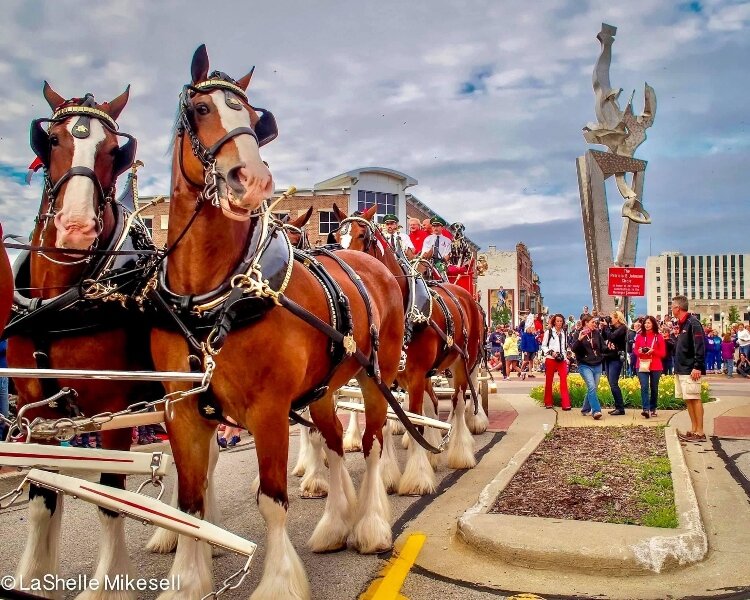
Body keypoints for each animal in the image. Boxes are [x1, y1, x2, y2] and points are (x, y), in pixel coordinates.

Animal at [3, 83, 152, 596]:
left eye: (113, 152)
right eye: (51, 141)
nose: (76, 228)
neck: (61, 301)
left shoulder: (117, 411)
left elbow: (110, 498)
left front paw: (108, 583)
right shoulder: (36, 413)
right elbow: (40, 497)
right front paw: (33, 576)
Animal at [151, 44, 406, 596]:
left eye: (253, 118)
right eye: (201, 109)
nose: (253, 181)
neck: (212, 300)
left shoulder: (268, 410)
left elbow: (272, 501)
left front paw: (279, 581)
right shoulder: (182, 410)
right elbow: (190, 506)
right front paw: (188, 577)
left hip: (376, 376)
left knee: (373, 442)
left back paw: (371, 523)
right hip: (326, 387)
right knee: (334, 442)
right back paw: (336, 523)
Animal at [334, 204, 484, 494]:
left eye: (362, 236)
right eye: (336, 236)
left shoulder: (414, 376)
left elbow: (414, 418)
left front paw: (417, 478)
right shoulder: (388, 377)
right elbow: (389, 420)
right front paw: (387, 475)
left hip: (464, 362)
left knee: (460, 402)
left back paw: (461, 450)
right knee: (434, 403)